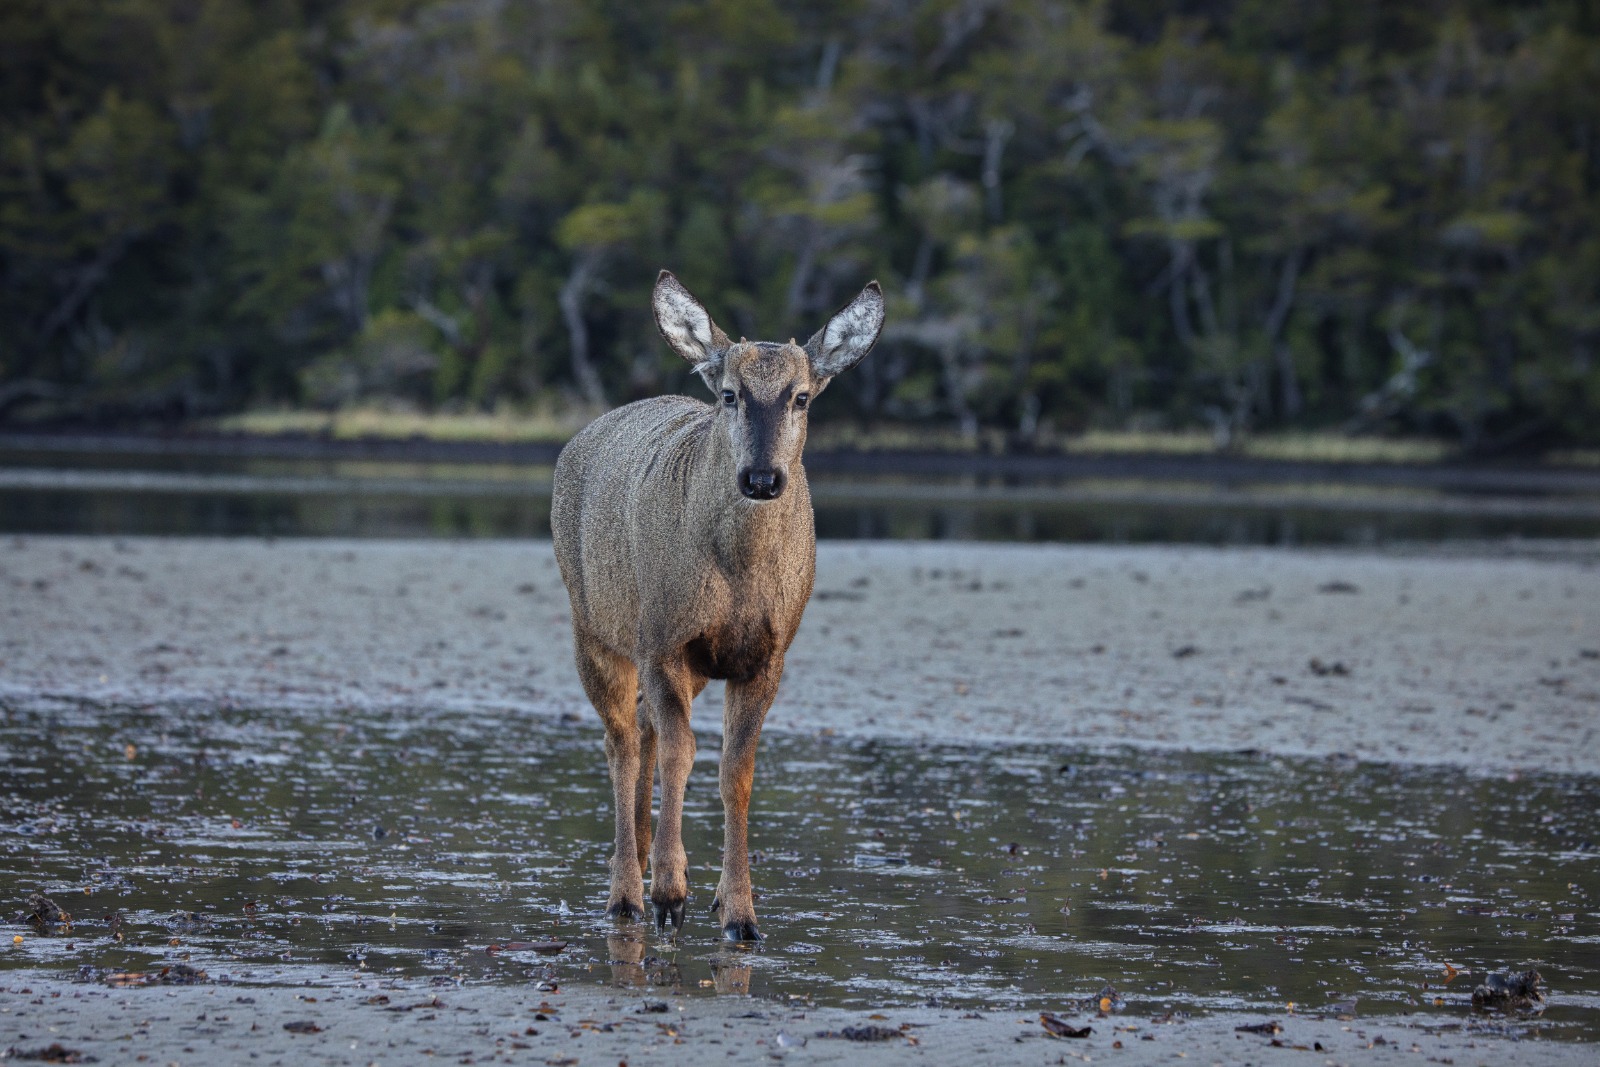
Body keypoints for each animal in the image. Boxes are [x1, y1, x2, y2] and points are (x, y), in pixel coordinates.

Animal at [553, 268, 889, 940]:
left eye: (802, 397)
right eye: (731, 395)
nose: (761, 478)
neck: (738, 574)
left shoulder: (765, 657)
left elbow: (737, 771)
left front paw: (739, 912)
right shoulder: (662, 638)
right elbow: (680, 754)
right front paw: (669, 892)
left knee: (643, 731)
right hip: (595, 630)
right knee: (623, 741)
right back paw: (626, 893)